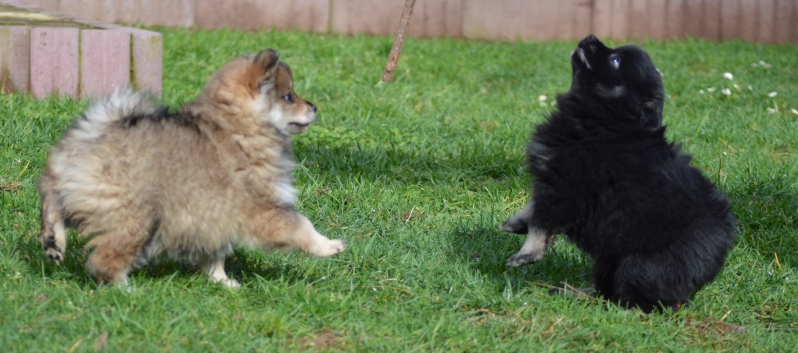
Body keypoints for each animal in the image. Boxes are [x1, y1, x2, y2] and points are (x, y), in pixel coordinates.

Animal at [39, 48, 346, 286]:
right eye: (290, 97)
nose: (314, 107)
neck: (241, 124)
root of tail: (96, 134)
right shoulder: (263, 209)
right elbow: (301, 226)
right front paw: (329, 246)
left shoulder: (216, 215)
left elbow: (215, 255)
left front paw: (221, 281)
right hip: (137, 217)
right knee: (106, 259)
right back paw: (124, 289)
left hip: (68, 181)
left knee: (51, 198)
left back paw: (54, 241)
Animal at [504, 35, 740, 310]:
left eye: (615, 60)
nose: (590, 38)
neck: (607, 117)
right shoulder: (551, 179)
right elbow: (532, 207)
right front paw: (515, 223)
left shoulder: (565, 188)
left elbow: (541, 226)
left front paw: (525, 255)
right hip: (610, 257)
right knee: (607, 288)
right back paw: (575, 294)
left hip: (641, 266)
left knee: (648, 302)